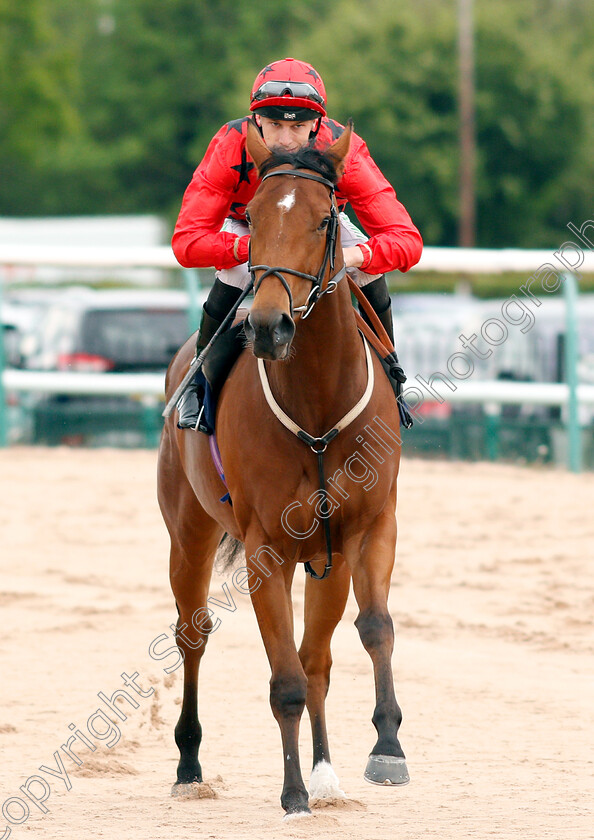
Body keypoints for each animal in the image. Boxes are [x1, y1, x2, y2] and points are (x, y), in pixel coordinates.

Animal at [156, 121, 408, 816]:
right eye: (255, 216)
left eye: (325, 218)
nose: (269, 325)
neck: (316, 403)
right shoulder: (266, 546)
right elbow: (285, 679)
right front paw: (293, 792)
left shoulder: (362, 529)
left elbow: (366, 632)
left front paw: (380, 751)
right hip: (188, 533)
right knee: (193, 632)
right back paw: (189, 762)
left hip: (326, 554)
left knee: (321, 652)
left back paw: (327, 771)